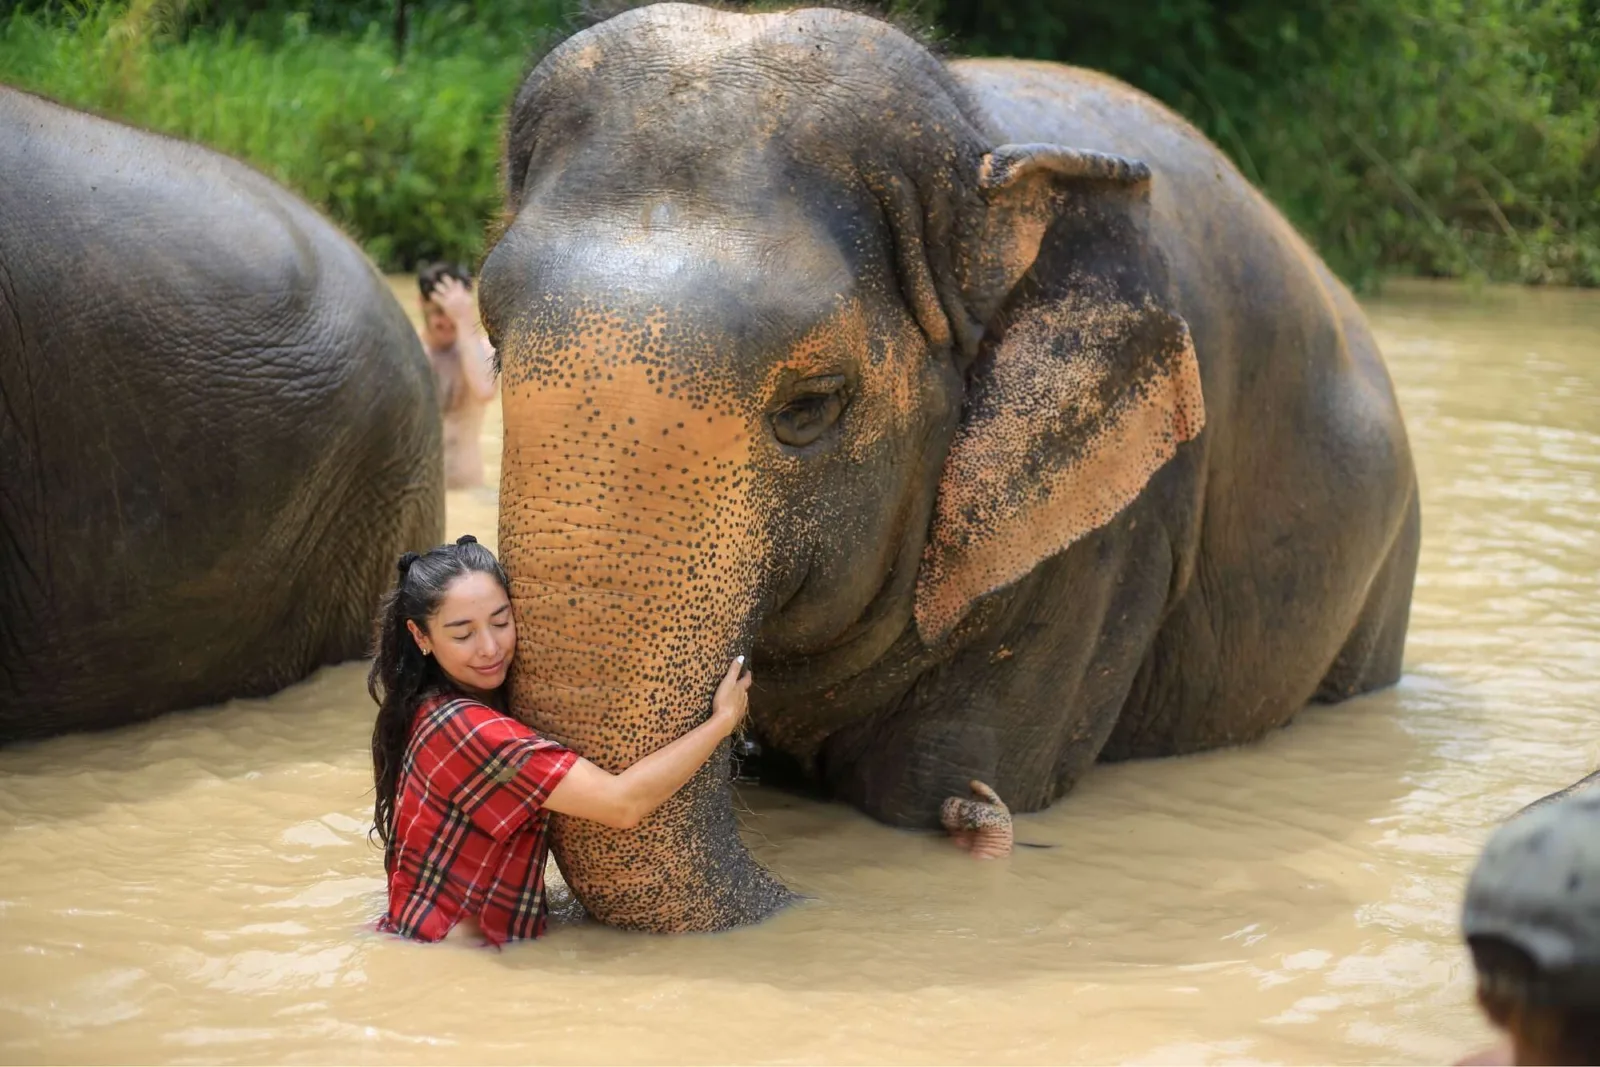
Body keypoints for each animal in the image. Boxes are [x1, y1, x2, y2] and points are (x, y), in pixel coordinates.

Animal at [478, 2, 1420, 932]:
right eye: (492, 345)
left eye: (810, 405)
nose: (796, 898)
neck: (983, 156)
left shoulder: (1112, 534)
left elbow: (921, 782)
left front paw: (964, 801)